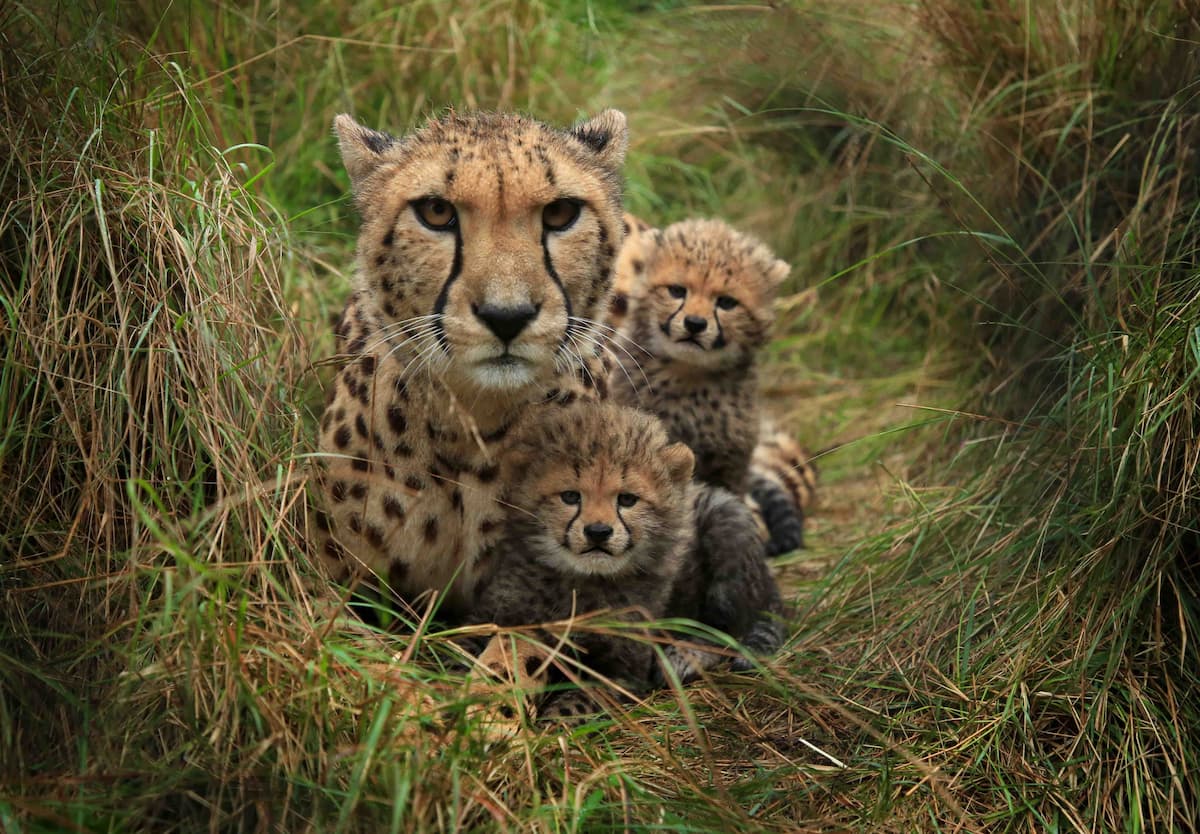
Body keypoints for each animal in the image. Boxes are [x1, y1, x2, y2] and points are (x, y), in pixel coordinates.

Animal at [467, 401, 784, 723]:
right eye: (570, 496)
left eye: (627, 499)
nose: (598, 532)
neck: (581, 582)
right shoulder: (488, 618)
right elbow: (459, 651)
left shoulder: (623, 669)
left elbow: (578, 704)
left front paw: (554, 723)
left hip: (726, 521)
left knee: (726, 630)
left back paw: (681, 658)